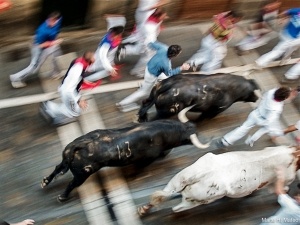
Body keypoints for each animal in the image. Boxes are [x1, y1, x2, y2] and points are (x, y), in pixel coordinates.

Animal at [41, 120, 210, 201]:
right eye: (187, 137)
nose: (194, 126)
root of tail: (80, 144)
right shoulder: (148, 158)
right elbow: (142, 167)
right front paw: (133, 176)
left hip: (66, 159)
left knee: (57, 168)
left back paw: (45, 182)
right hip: (83, 174)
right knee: (72, 183)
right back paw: (62, 197)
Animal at [138, 146, 300, 214]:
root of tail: (199, 175)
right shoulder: (284, 180)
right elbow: (280, 188)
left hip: (177, 179)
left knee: (160, 195)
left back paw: (143, 210)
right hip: (201, 199)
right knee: (176, 208)